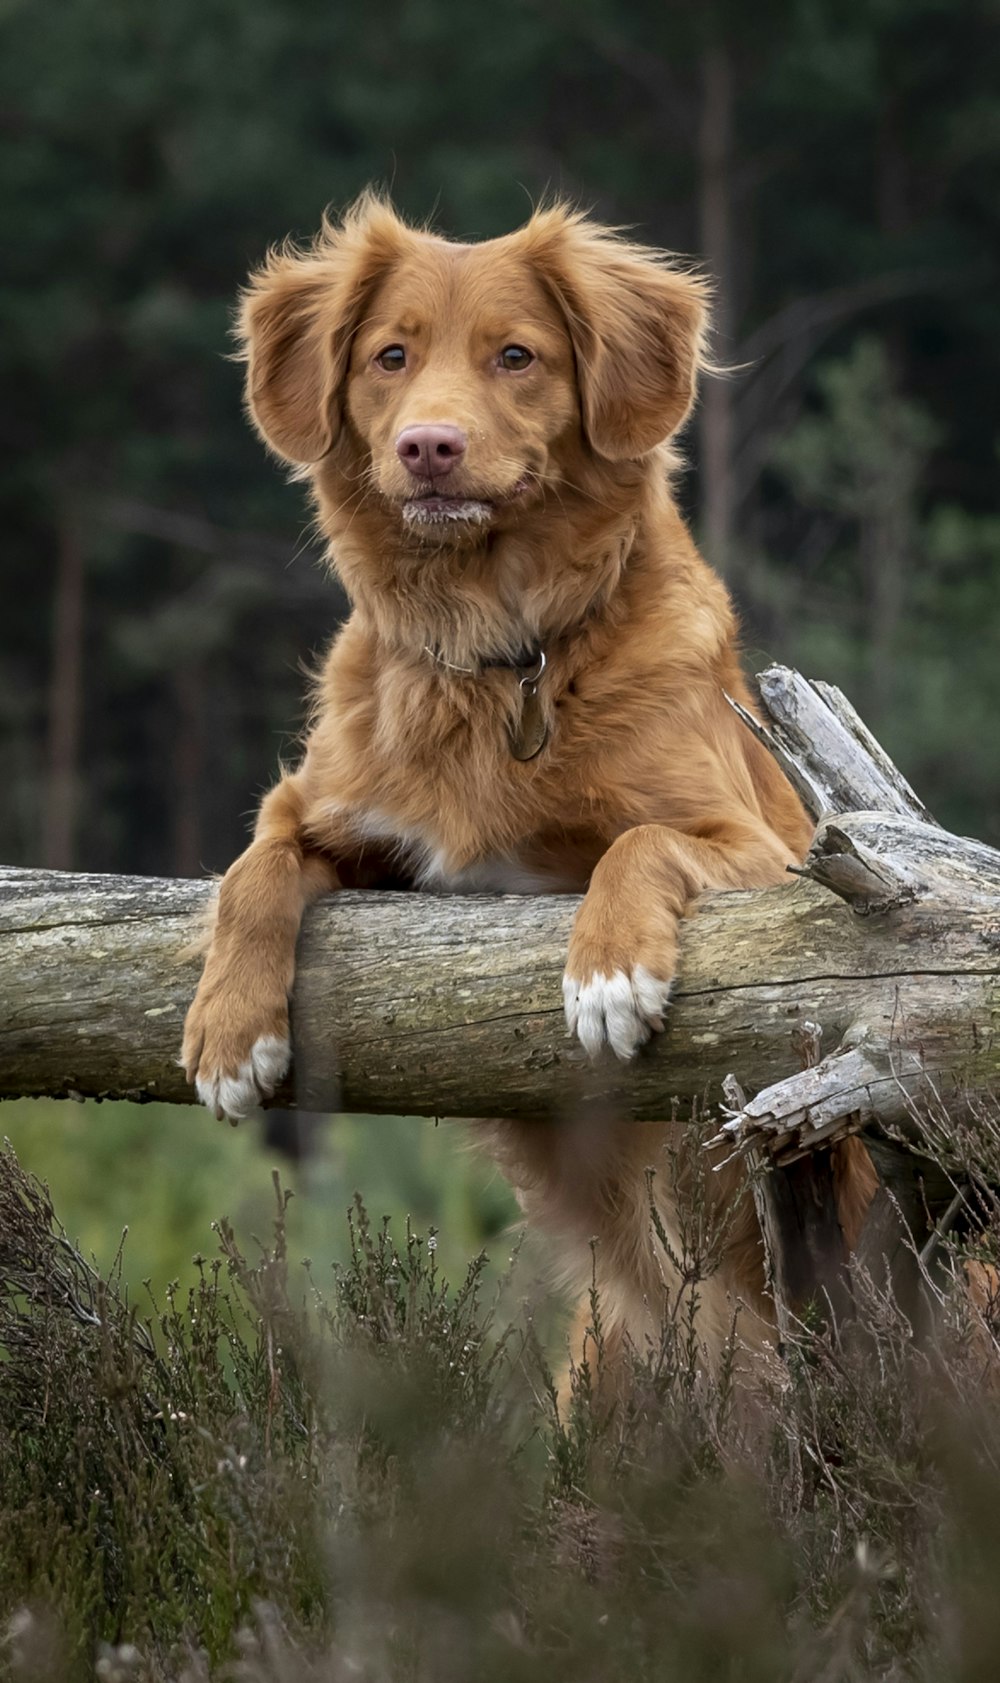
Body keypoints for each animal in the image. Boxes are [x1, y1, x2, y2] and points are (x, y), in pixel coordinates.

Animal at [180, 196, 875, 1373]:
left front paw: (606, 971)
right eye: (390, 357)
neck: (501, 650)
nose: (428, 446)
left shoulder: (774, 857)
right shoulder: (345, 820)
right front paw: (228, 1028)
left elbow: (639, 841)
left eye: (517, 356)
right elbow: (253, 867)